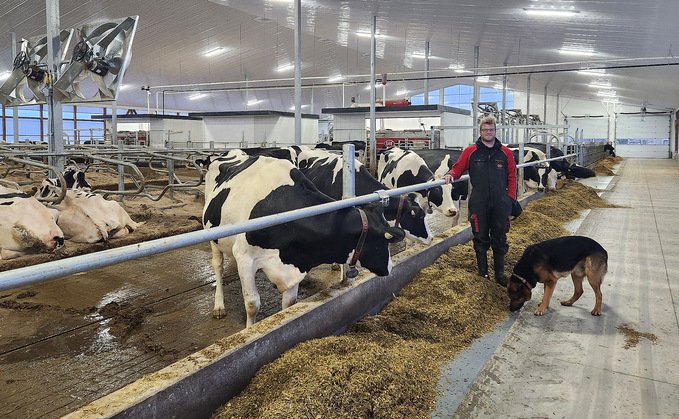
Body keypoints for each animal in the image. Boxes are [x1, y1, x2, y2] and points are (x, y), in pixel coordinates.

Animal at [199, 151, 406, 328]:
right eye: (384, 240)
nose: (390, 267)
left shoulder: (295, 264)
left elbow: (289, 303)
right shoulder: (245, 258)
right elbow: (252, 304)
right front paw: (250, 330)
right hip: (212, 236)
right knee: (217, 266)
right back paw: (219, 305)